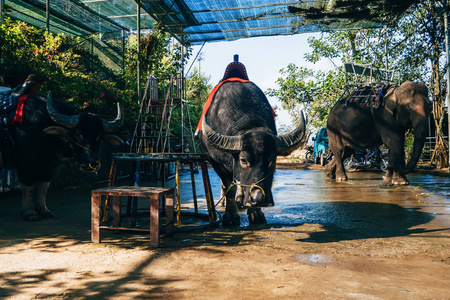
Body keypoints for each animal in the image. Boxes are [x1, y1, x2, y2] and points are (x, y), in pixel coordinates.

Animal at [4, 91, 123, 220]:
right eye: (78, 134)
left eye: (99, 136)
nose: (91, 162)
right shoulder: (25, 165)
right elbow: (28, 187)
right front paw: (29, 213)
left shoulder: (48, 167)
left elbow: (43, 187)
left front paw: (44, 211)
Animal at [197, 79, 306, 225]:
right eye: (243, 160)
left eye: (272, 161)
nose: (258, 198)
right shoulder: (216, 162)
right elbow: (229, 187)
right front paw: (231, 216)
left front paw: (256, 213)